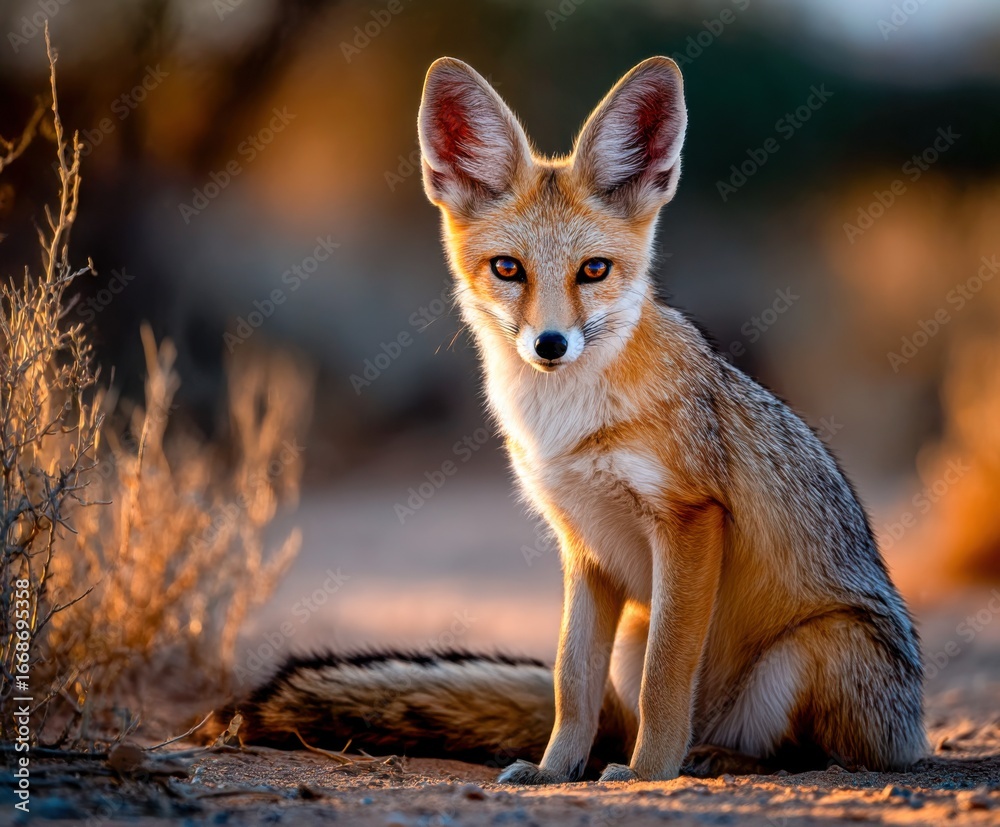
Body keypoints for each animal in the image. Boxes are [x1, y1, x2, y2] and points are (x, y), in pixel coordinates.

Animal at [231, 57, 925, 783]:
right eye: (509, 269)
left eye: (594, 270)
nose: (551, 344)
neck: (565, 425)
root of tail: (912, 732)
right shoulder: (585, 544)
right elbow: (571, 677)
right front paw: (555, 770)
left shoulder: (691, 520)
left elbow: (665, 677)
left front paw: (649, 774)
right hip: (635, 634)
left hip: (813, 648)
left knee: (809, 755)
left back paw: (707, 756)